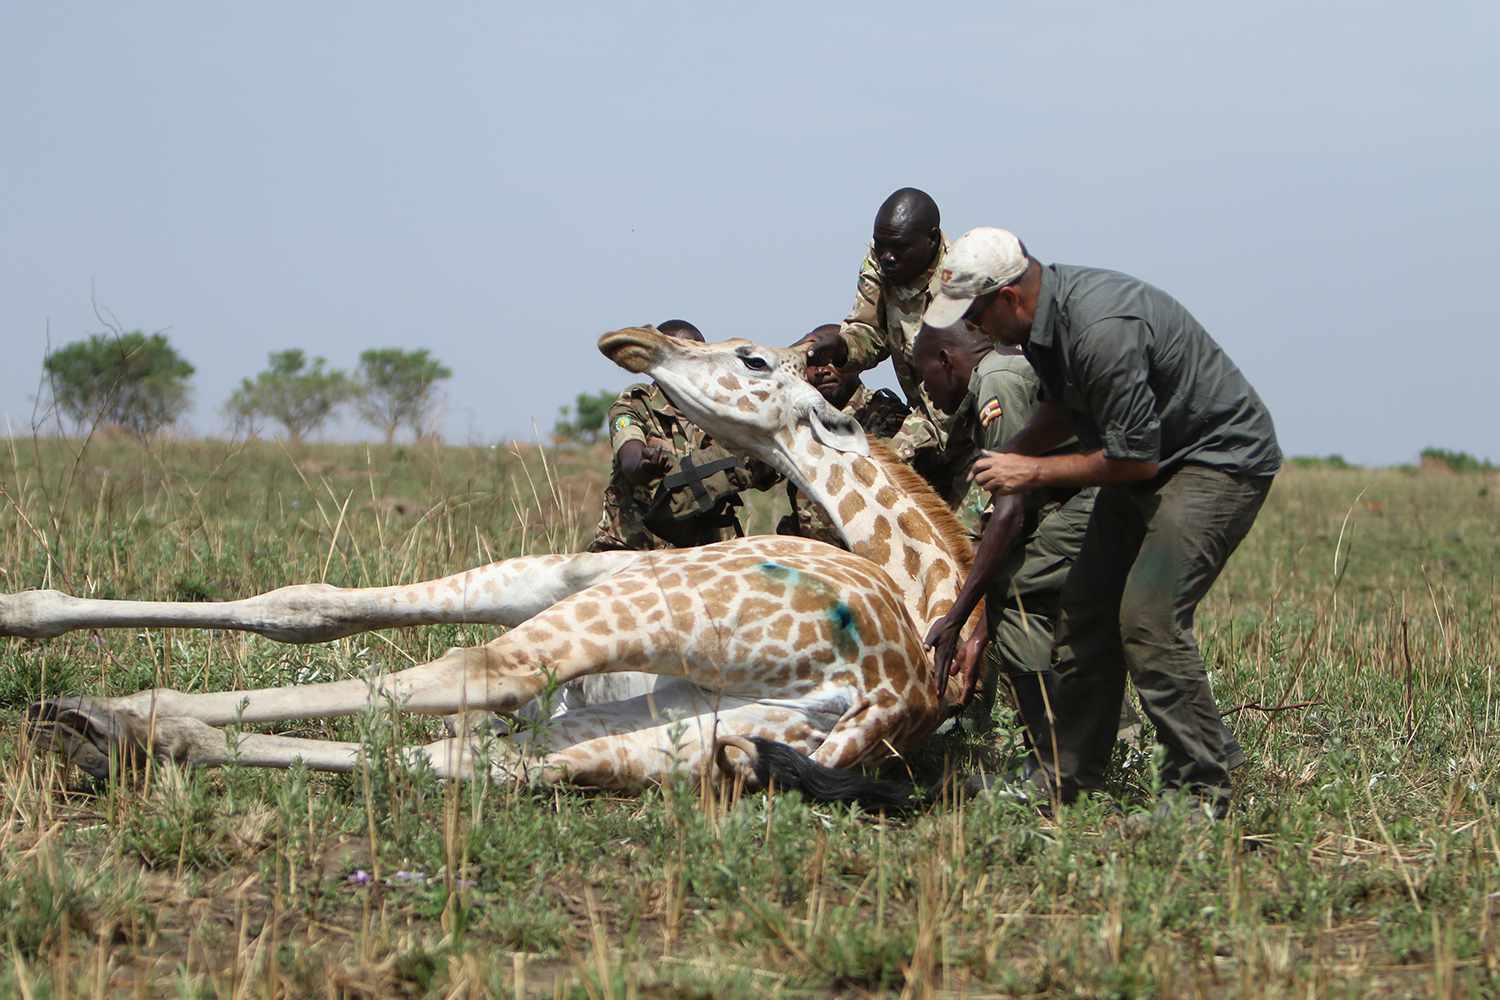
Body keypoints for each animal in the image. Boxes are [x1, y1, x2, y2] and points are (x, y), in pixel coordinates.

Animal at [14, 328, 984, 803]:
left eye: (752, 359)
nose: (635, 340)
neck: (921, 585)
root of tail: (881, 697)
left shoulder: (588, 581)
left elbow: (328, 614)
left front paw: (26, 620)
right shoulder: (582, 595)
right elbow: (313, 608)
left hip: (657, 612)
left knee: (474, 675)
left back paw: (120, 717)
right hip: (679, 737)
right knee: (475, 761)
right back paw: (134, 736)